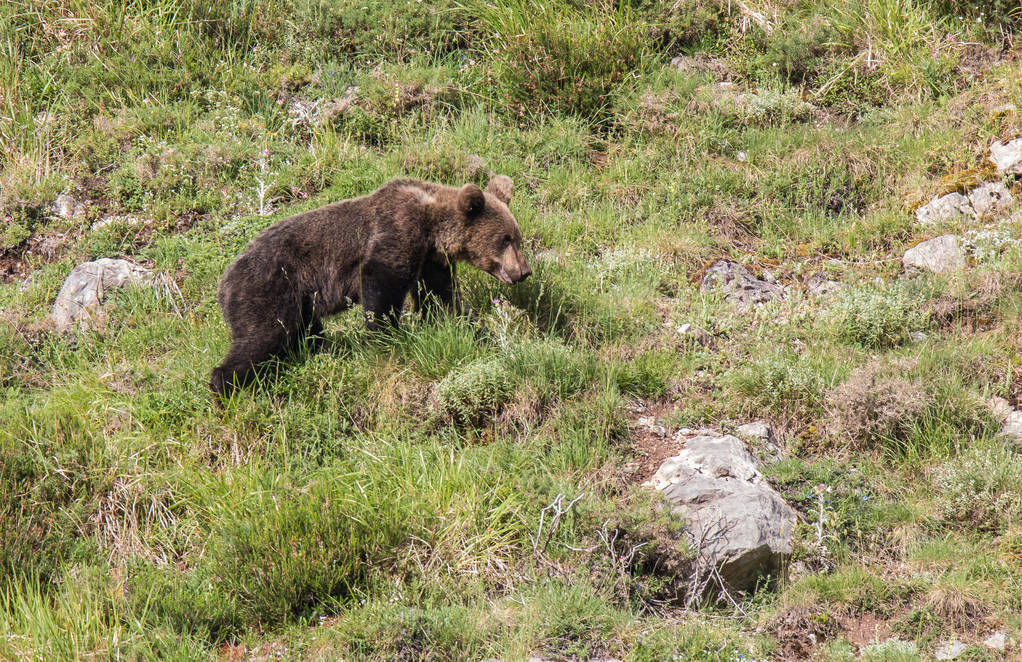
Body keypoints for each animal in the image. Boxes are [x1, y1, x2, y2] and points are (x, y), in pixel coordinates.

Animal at [207, 173, 527, 398]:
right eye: (505, 239)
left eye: (516, 236)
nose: (524, 271)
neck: (431, 227)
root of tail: (222, 283)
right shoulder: (395, 232)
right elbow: (382, 286)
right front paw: (388, 337)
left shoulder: (431, 262)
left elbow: (444, 302)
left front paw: (484, 336)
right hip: (268, 287)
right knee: (261, 336)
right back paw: (228, 387)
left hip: (299, 301)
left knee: (302, 333)